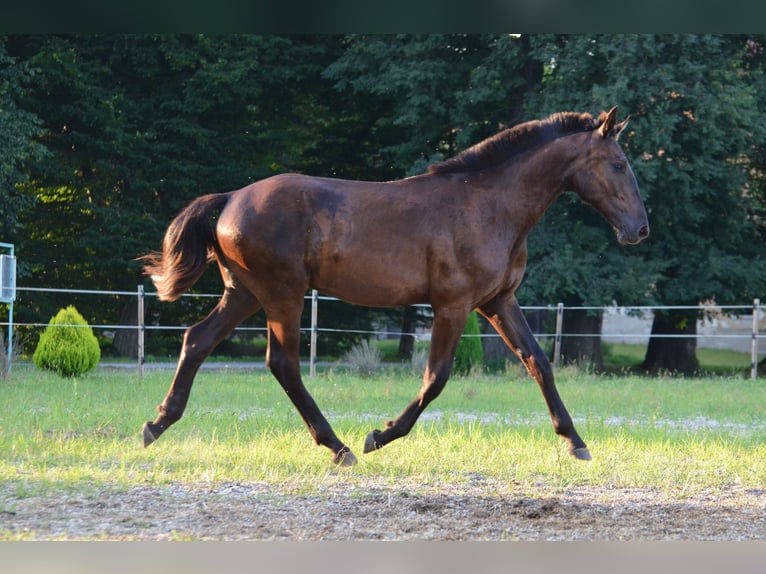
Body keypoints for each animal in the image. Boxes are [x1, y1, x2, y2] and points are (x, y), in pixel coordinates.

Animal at [141, 107, 652, 468]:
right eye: (619, 164)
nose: (640, 230)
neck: (488, 204)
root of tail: (231, 199)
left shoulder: (497, 301)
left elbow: (538, 363)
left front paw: (575, 442)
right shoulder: (453, 306)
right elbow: (436, 378)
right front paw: (380, 435)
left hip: (245, 294)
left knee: (197, 340)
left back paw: (158, 422)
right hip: (282, 296)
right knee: (282, 364)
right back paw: (339, 447)